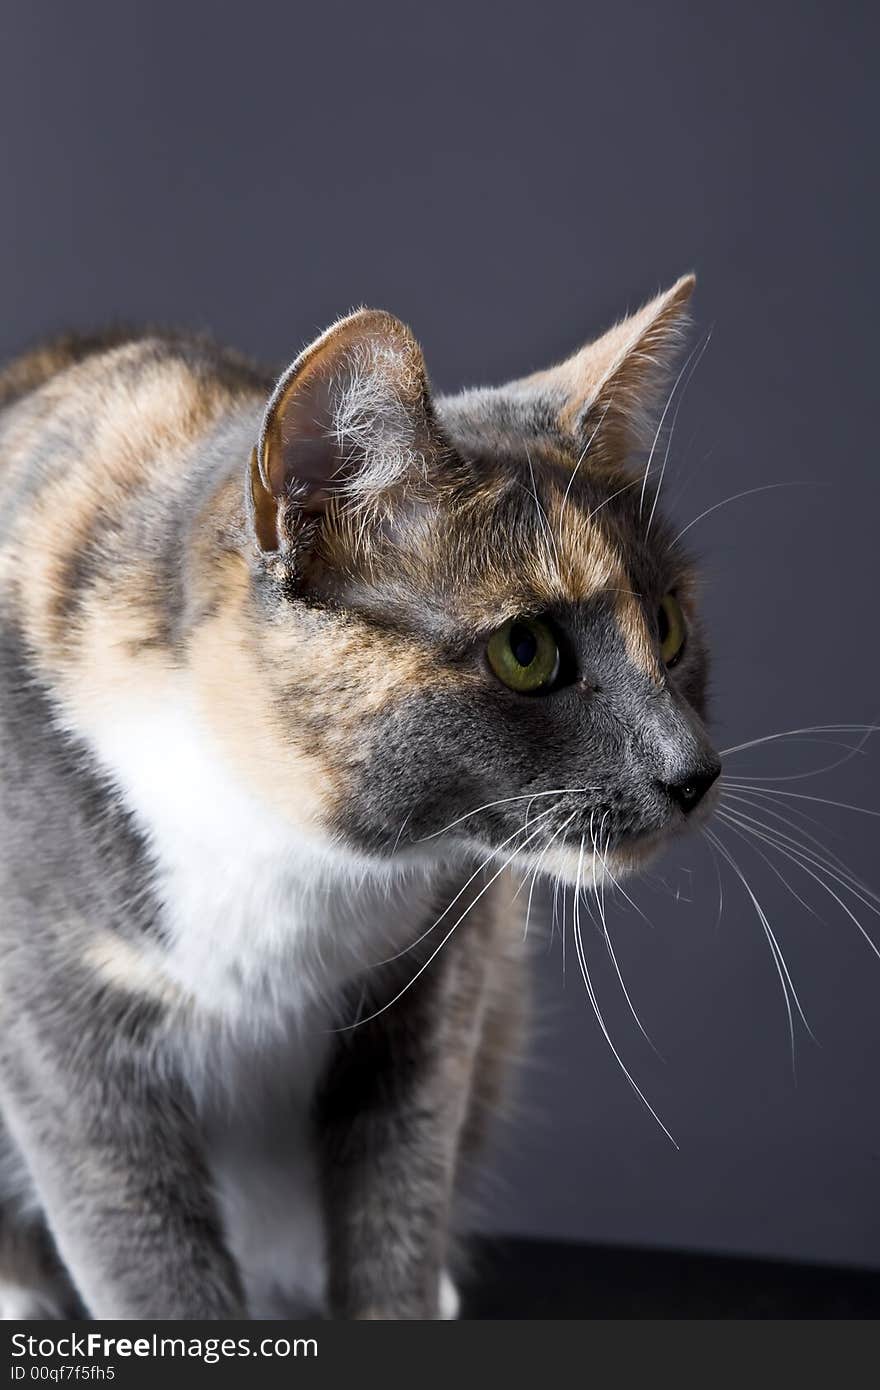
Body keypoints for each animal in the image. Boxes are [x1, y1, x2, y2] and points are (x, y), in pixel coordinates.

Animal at [0, 273, 717, 1323]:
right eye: (526, 650)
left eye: (668, 626)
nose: (694, 769)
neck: (283, 843)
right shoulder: (60, 1033)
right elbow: (140, 1252)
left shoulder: (431, 995)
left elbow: (396, 1208)